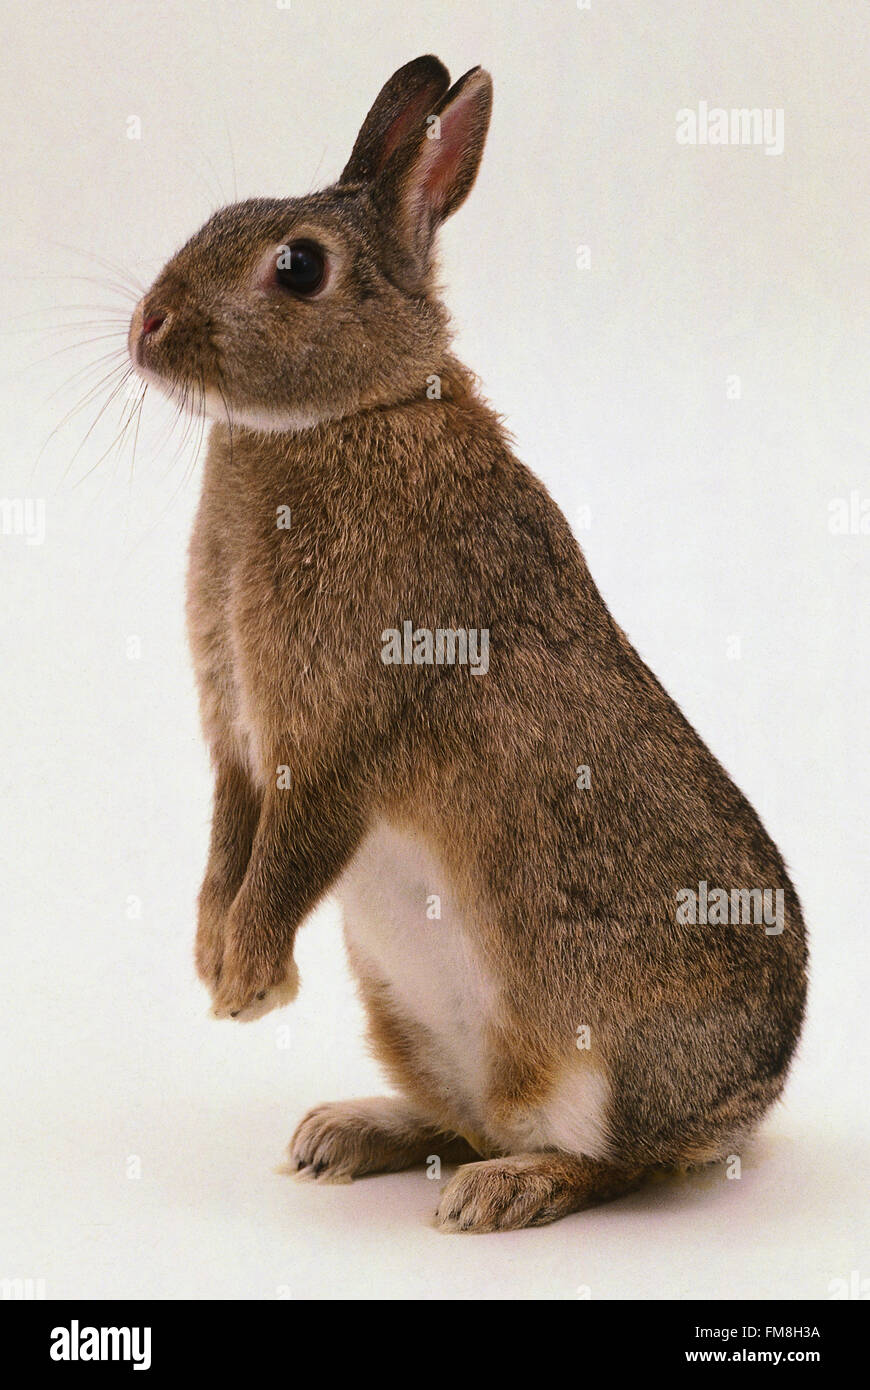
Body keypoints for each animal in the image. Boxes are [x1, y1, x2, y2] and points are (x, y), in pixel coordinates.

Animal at [128, 54, 806, 1234]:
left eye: (298, 267)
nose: (146, 326)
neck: (352, 412)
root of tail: (752, 1101)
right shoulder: (239, 743)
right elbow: (228, 838)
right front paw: (219, 965)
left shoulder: (337, 734)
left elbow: (291, 847)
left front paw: (251, 983)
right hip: (409, 1014)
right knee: (470, 1116)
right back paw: (347, 1134)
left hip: (609, 1058)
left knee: (614, 1163)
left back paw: (502, 1191)